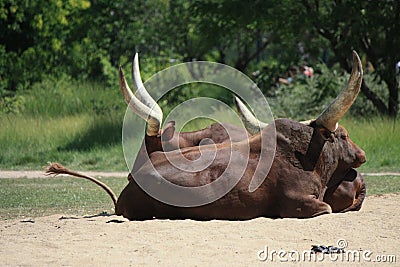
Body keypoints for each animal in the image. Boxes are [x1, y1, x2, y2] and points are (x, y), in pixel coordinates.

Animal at [47, 51, 366, 221]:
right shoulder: (302, 204)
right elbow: (325, 208)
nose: (362, 155)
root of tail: (132, 182)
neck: (306, 156)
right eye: (344, 134)